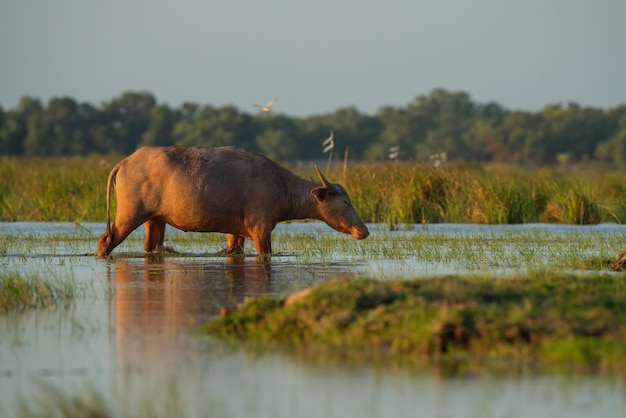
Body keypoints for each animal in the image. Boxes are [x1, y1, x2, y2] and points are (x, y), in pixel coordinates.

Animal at [95, 145, 368, 256]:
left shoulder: (235, 233)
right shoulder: (261, 229)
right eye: (346, 202)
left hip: (154, 219)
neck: (281, 188)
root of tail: (125, 161)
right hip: (129, 215)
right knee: (105, 239)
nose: (363, 230)